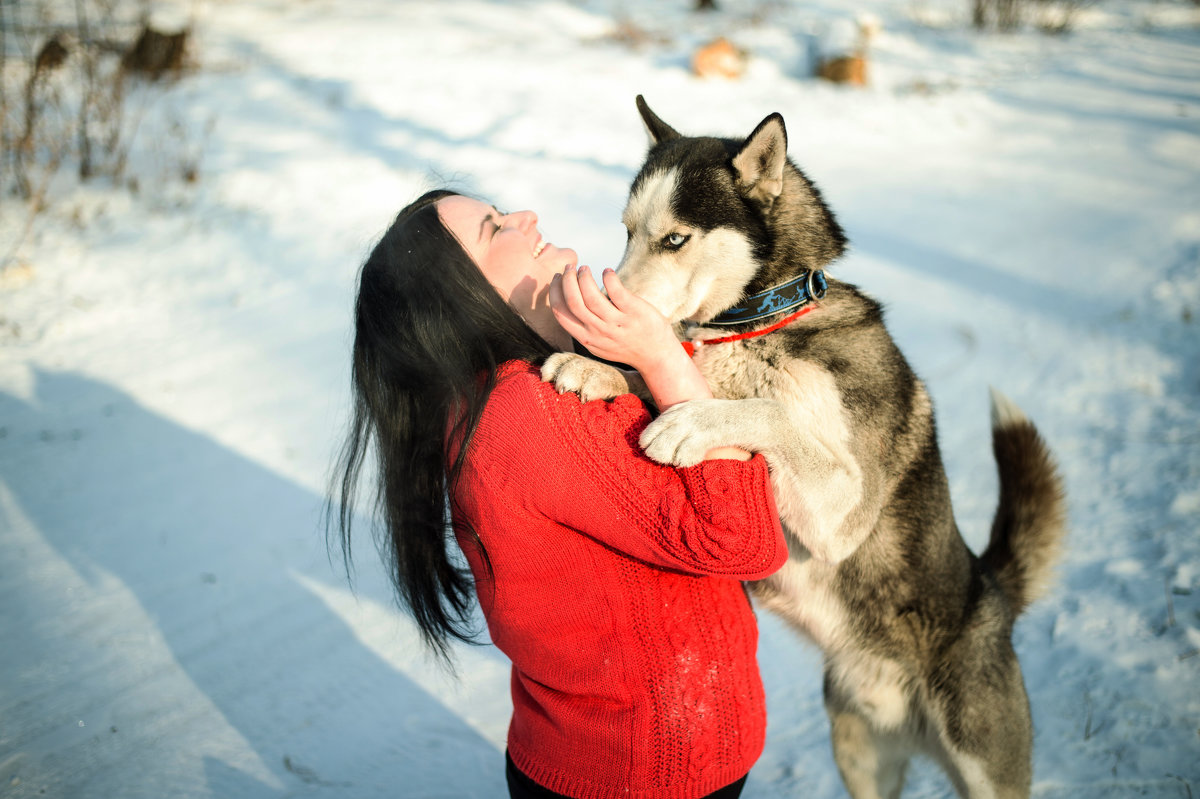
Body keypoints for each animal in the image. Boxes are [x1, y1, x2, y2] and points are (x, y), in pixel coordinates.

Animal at [544, 97, 1070, 796]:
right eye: (627, 232)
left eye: (674, 239)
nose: (599, 310)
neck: (761, 322)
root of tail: (993, 595)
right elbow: (659, 378)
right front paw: (599, 370)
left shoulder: (842, 510)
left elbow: (770, 414)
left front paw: (692, 422)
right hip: (860, 758)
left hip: (986, 764)